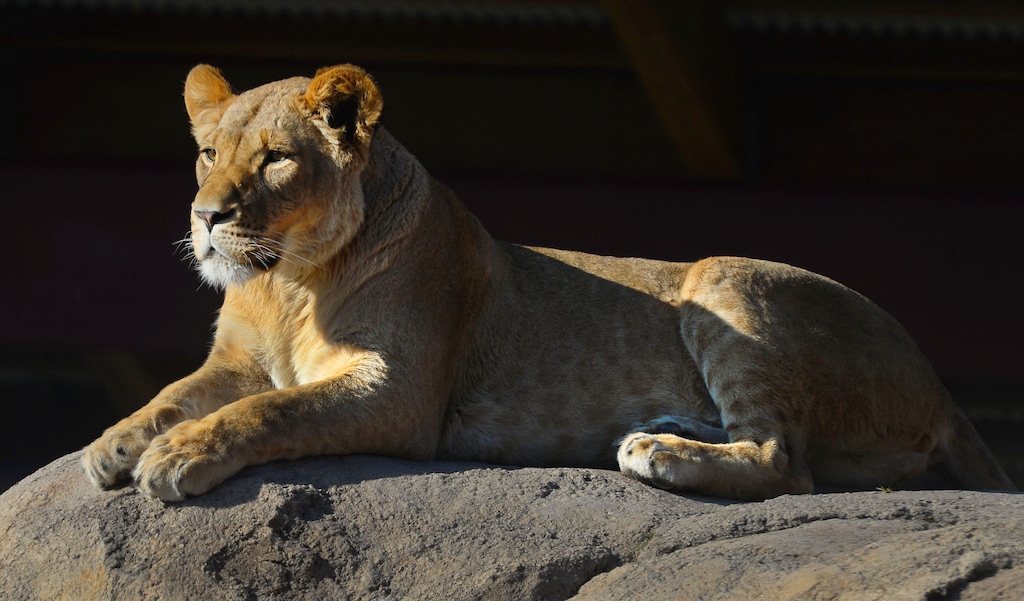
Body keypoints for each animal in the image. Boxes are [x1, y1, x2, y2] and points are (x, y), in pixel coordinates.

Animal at [81, 64, 1015, 502]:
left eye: (276, 158)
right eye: (208, 152)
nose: (206, 214)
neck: (285, 284)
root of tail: (938, 380)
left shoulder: (400, 392)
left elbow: (274, 409)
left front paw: (179, 455)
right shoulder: (236, 357)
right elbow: (176, 391)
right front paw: (115, 443)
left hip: (721, 277)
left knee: (787, 461)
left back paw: (662, 451)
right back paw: (668, 427)